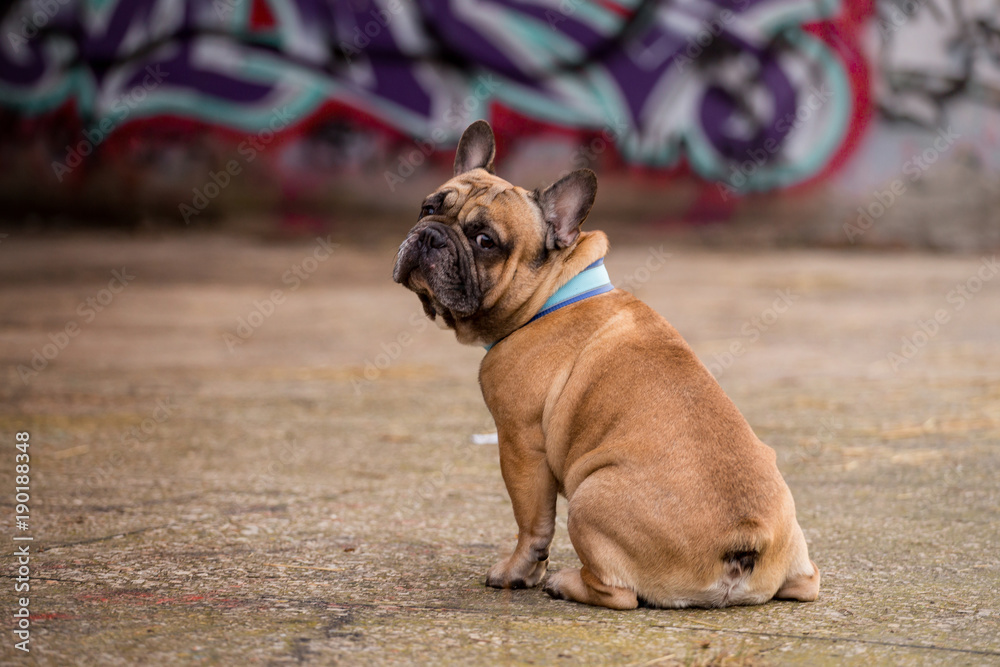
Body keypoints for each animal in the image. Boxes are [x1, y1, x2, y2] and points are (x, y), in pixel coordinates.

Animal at [390, 120, 820, 612]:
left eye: (485, 241)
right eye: (428, 207)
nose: (431, 235)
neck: (554, 294)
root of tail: (745, 539)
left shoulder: (519, 444)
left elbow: (532, 525)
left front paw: (517, 573)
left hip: (588, 497)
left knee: (619, 593)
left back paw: (565, 583)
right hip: (794, 550)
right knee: (806, 582)